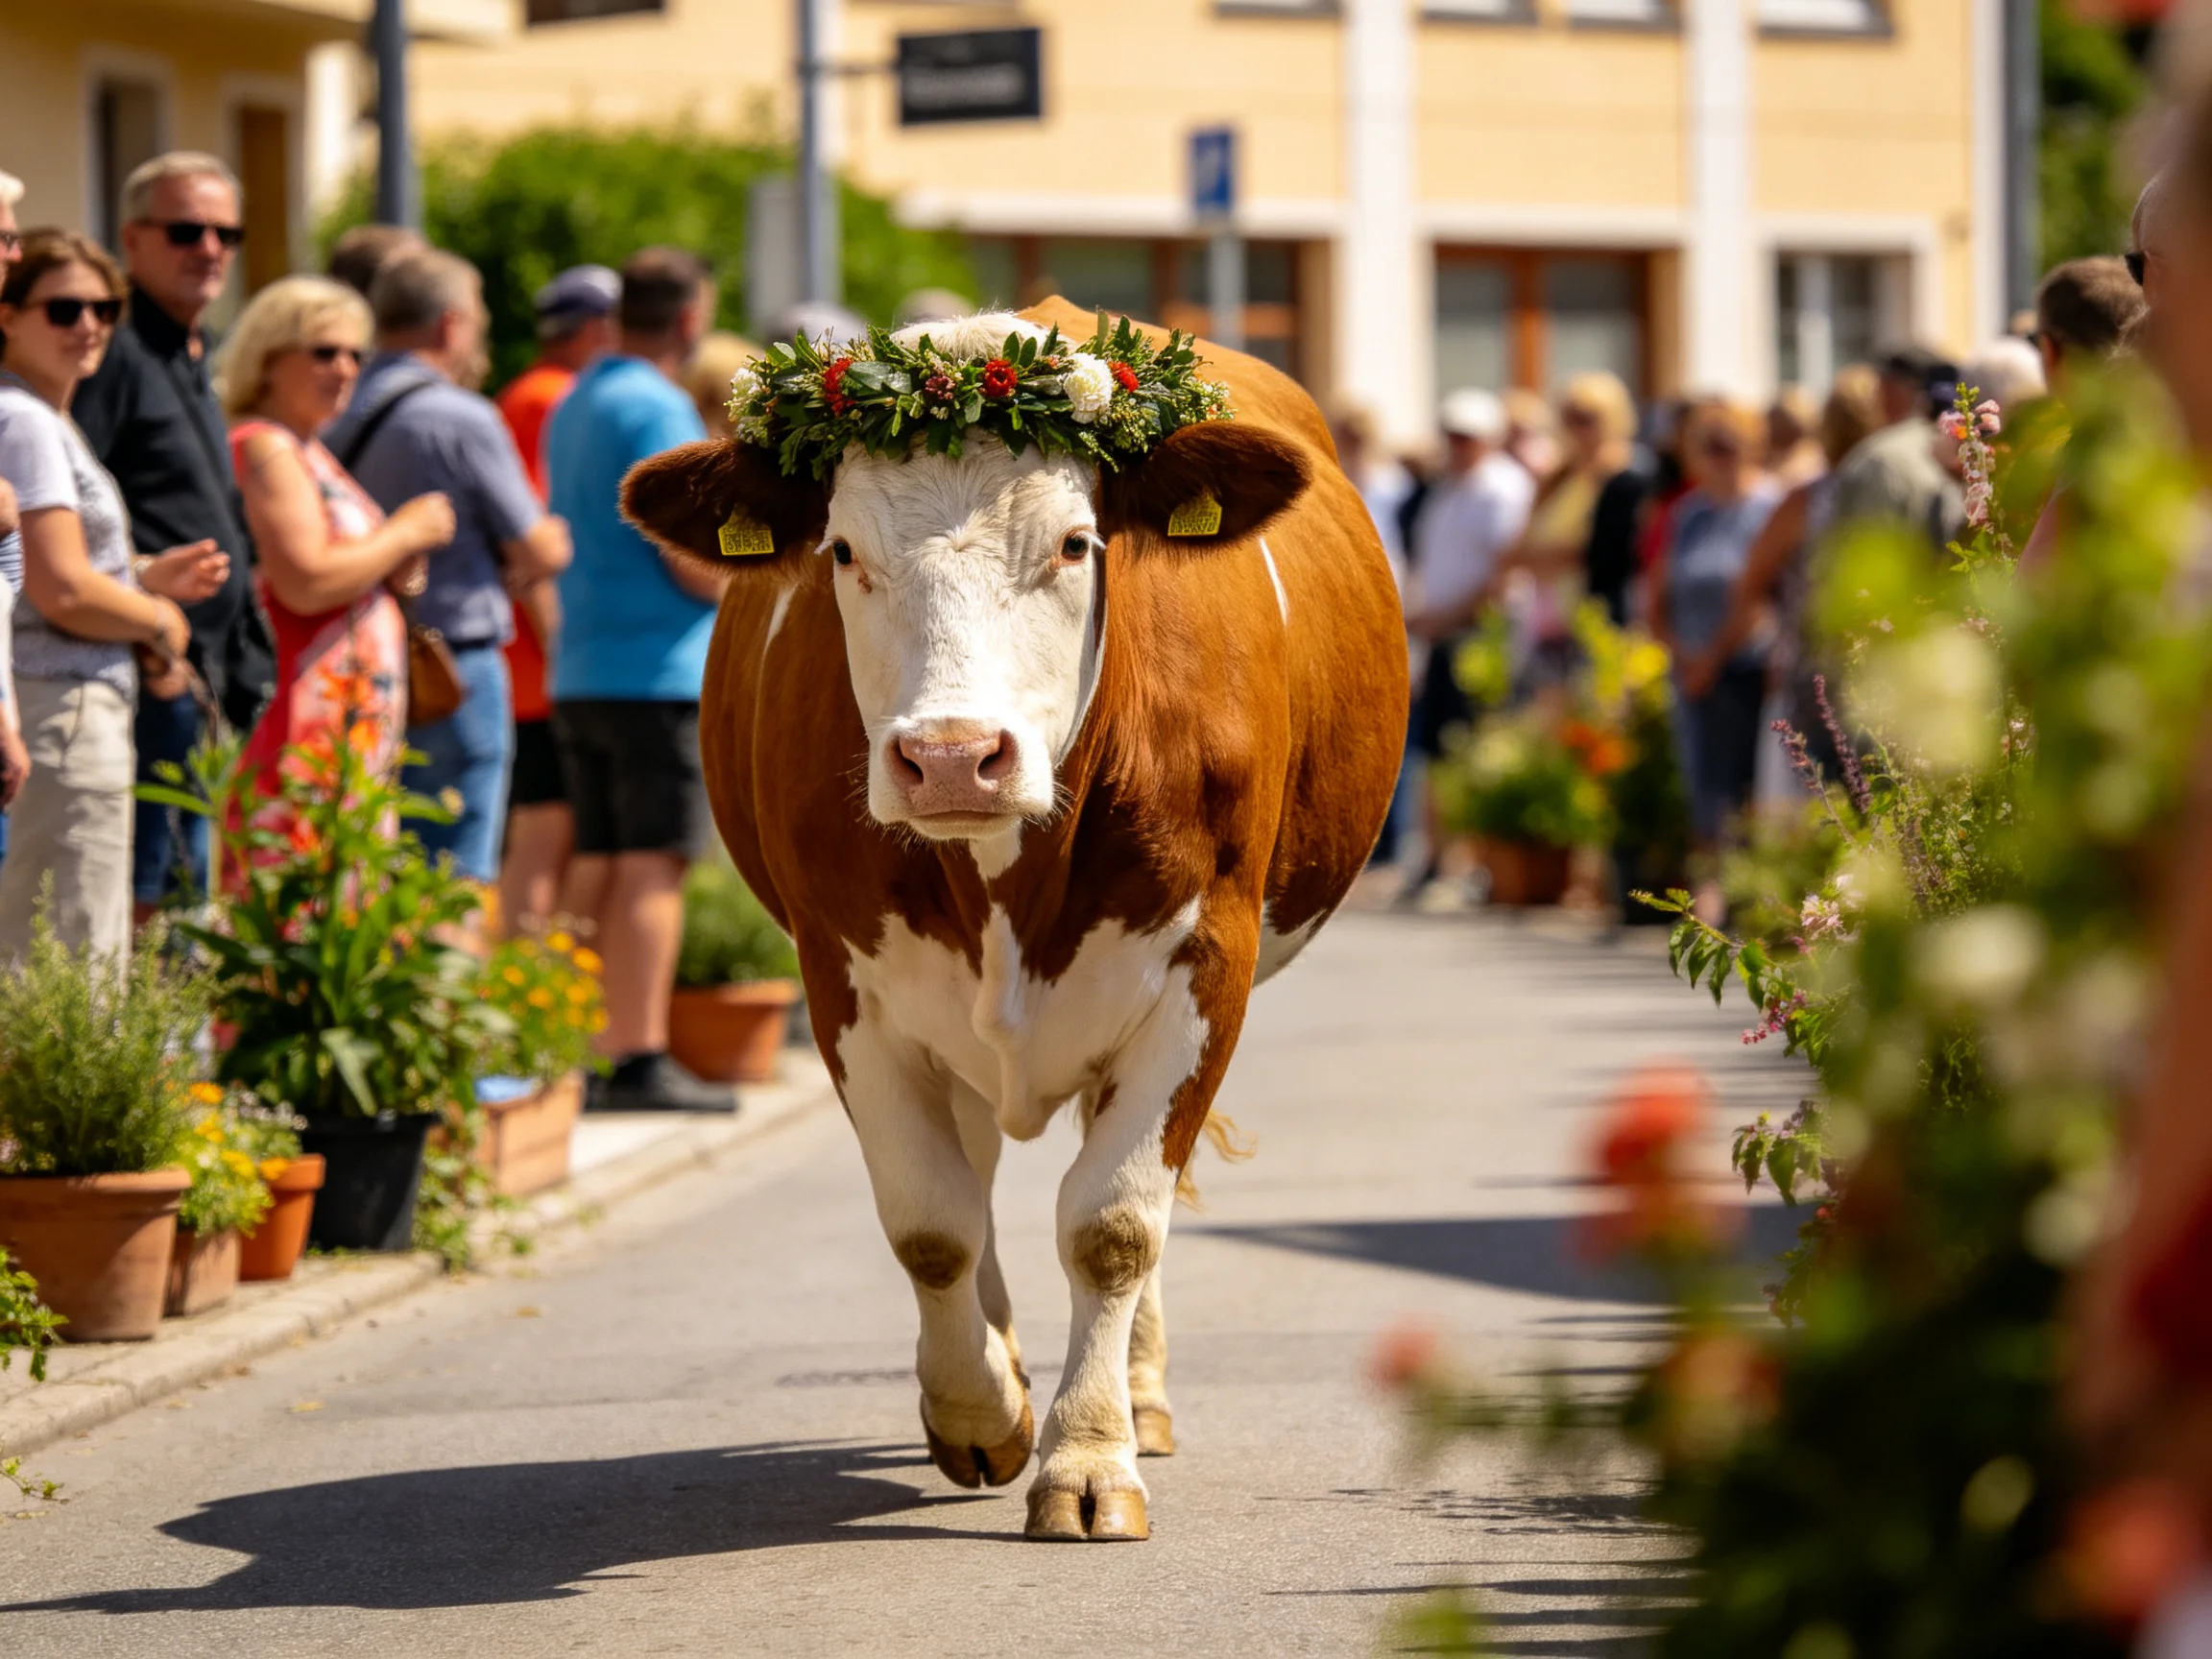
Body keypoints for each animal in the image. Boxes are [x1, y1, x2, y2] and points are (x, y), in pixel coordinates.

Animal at [622, 297, 1408, 1541]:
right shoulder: (845, 982)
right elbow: (932, 1223)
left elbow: (1114, 1223)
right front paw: (982, 1409)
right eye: (843, 552)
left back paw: (1137, 1394)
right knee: (976, 1173)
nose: (951, 757)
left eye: (1077, 545)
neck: (1003, 880)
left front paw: (1090, 1457)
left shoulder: (1205, 968)